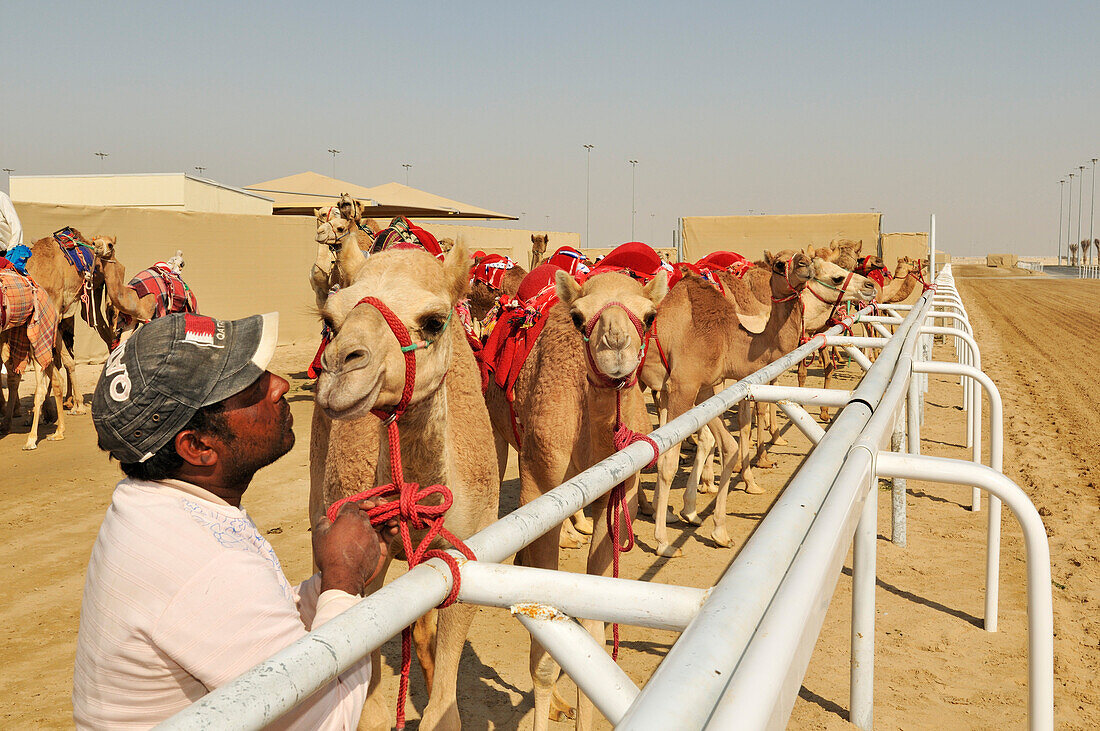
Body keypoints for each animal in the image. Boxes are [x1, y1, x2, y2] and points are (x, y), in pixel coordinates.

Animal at [310, 240, 499, 729]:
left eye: (433, 321)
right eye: (330, 320)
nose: (340, 367)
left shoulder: (470, 548)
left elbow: (444, 710)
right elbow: (371, 710)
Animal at [484, 263, 668, 725]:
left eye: (650, 315)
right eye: (579, 317)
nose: (615, 345)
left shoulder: (614, 500)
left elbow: (593, 637)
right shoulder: (539, 483)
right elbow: (546, 656)